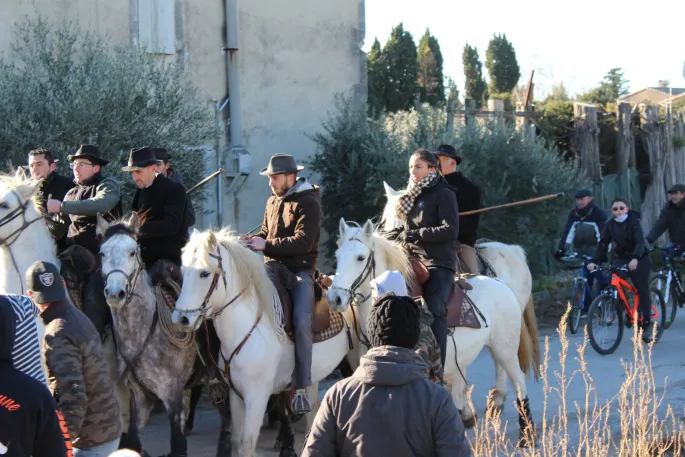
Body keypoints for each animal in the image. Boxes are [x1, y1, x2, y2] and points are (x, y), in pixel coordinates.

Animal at [171, 228, 352, 456]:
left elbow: (247, 444)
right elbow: (237, 442)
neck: (248, 330)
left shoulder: (257, 396)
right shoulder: (236, 396)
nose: (180, 319)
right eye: (182, 270)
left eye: (204, 273)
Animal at [328, 219, 536, 432]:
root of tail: (501, 283)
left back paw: (524, 428)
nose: (335, 298)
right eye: (337, 256)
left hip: (505, 348)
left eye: (360, 258)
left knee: (517, 380)